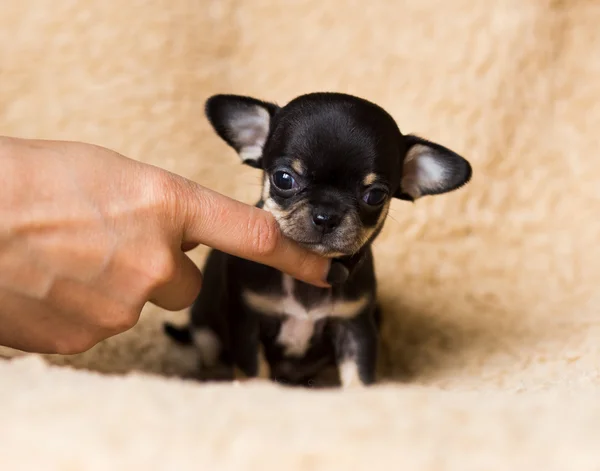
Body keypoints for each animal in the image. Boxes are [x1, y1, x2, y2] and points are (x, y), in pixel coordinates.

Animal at [164, 92, 474, 388]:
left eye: (375, 196)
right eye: (283, 179)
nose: (326, 215)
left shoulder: (355, 326)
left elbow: (359, 375)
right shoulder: (247, 325)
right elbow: (254, 373)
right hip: (205, 329)